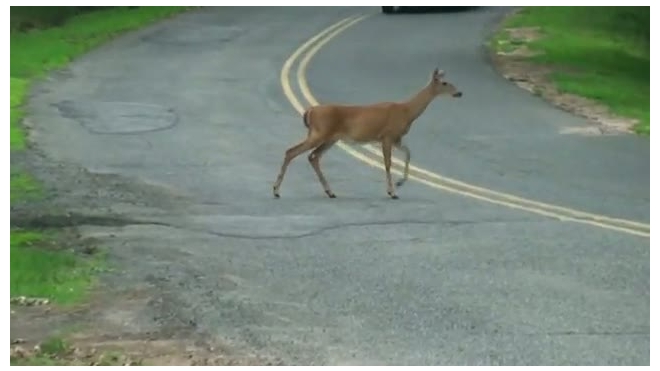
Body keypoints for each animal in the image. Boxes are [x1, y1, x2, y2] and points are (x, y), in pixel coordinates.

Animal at [270, 67, 462, 201]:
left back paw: (330, 192)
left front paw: (400, 183)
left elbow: (408, 153)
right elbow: (388, 163)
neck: (407, 111)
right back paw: (276, 191)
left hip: (330, 138)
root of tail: (309, 111)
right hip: (319, 133)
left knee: (313, 157)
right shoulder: (387, 136)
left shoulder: (396, 138)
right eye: (445, 83)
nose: (459, 92)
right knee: (292, 151)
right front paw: (392, 192)